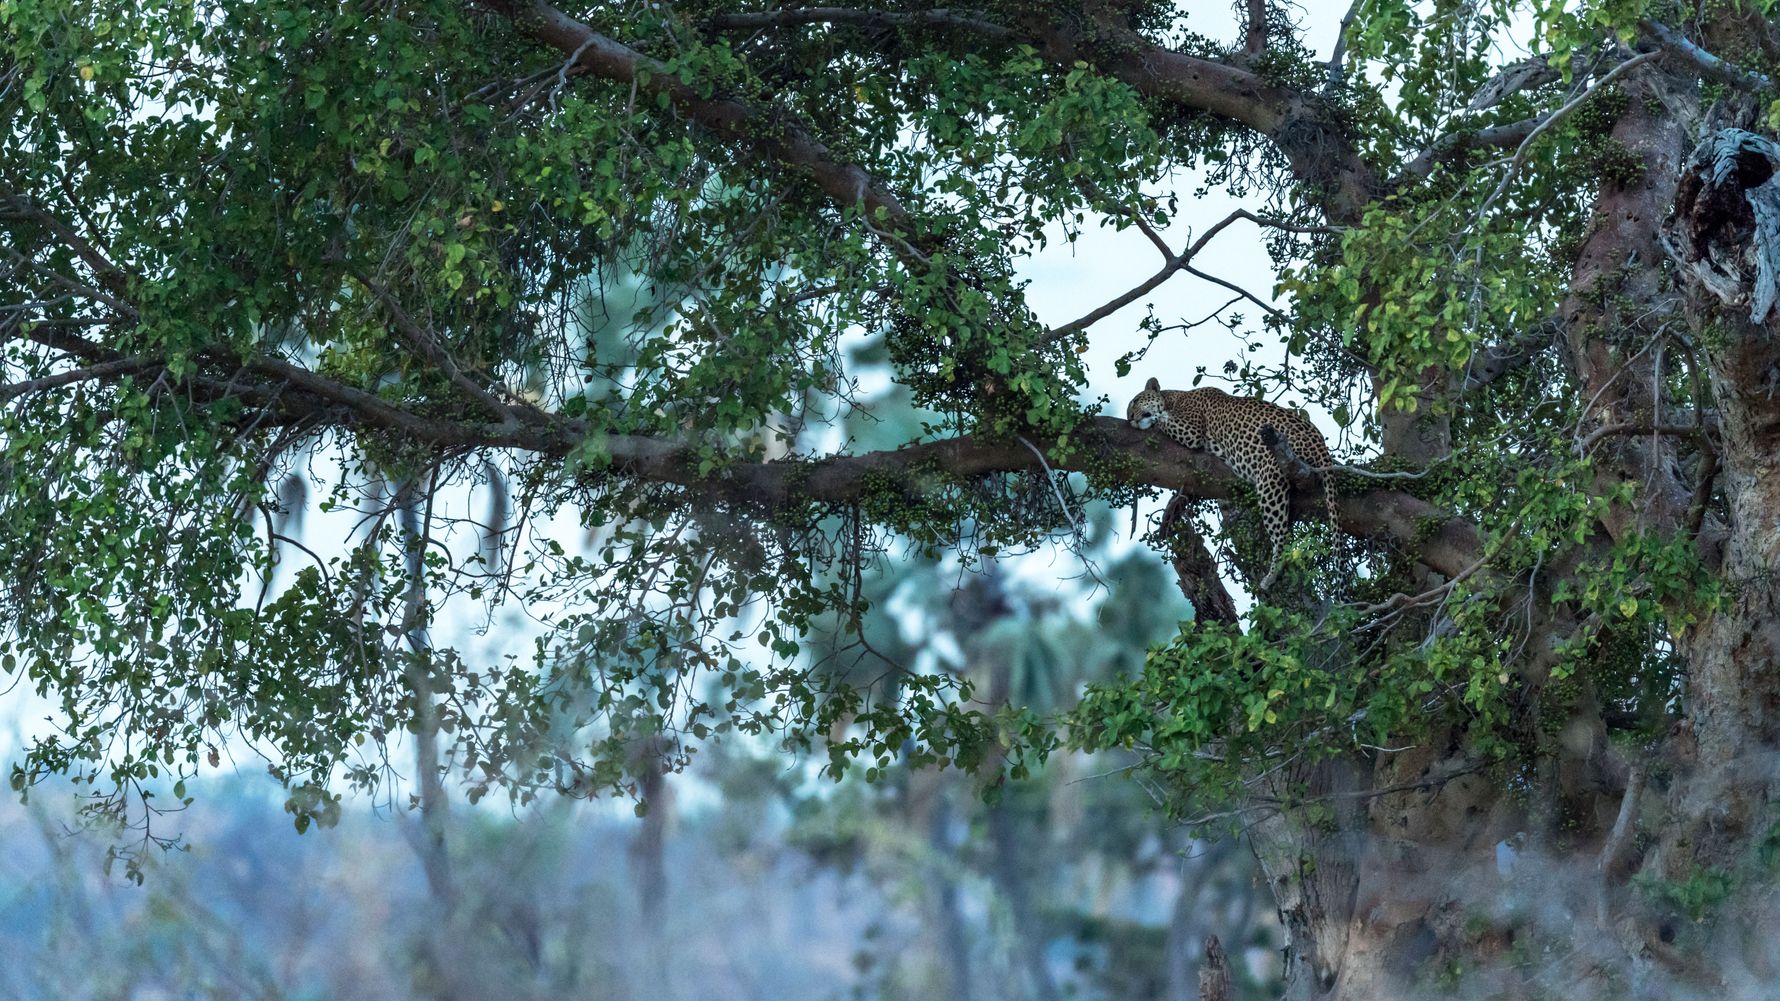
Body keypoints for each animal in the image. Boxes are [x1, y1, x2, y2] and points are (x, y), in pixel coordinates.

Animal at [1126, 377, 1340, 592]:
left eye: (1135, 401)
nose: (1130, 418)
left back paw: (1271, 575)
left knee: (1282, 536)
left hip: (1270, 477)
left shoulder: (1191, 430)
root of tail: (1320, 443)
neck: (1174, 398)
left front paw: (1152, 419)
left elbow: (1162, 419)